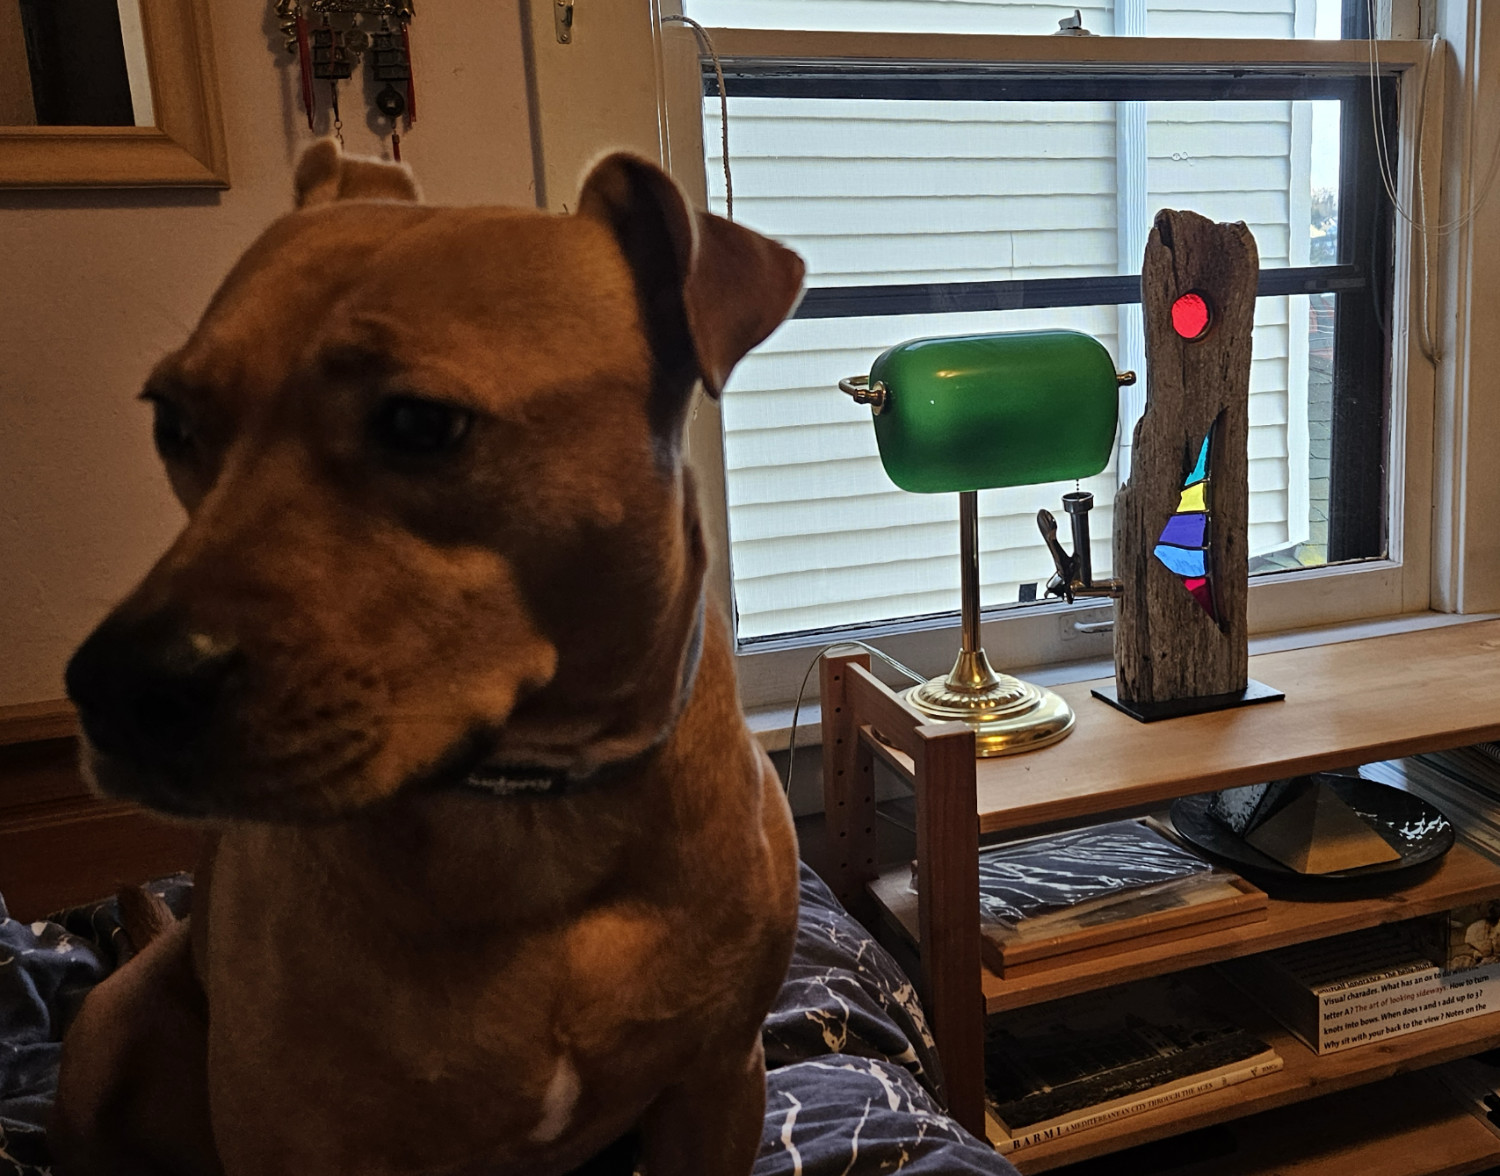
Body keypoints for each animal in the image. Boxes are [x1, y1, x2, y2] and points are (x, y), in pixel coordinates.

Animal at [52, 140, 810, 1176]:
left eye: (420, 423)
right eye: (171, 422)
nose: (115, 688)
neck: (527, 816)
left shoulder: (720, 1085)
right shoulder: (296, 1137)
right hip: (106, 1030)